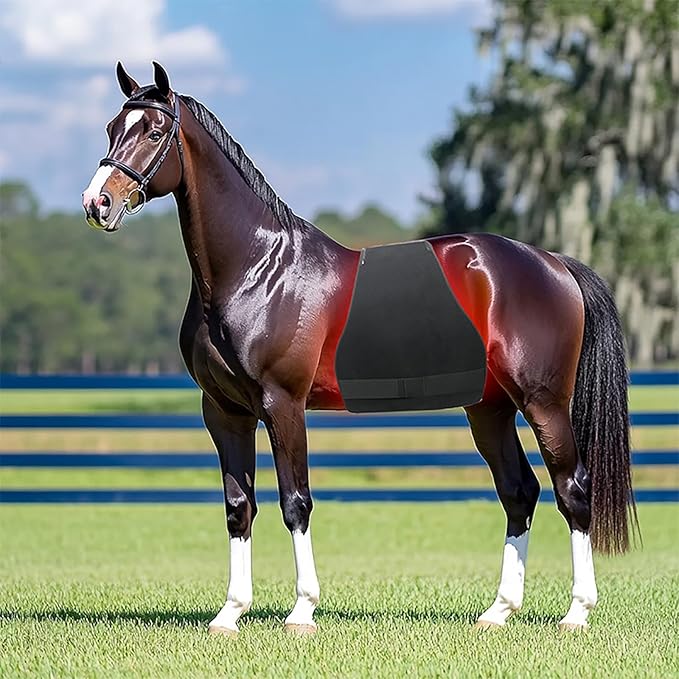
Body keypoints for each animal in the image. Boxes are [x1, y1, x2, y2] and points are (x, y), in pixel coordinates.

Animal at [82, 62, 637, 636]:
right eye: (111, 129)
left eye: (154, 132)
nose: (97, 203)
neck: (257, 270)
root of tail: (554, 263)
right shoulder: (225, 412)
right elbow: (239, 505)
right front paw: (230, 613)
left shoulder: (283, 405)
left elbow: (295, 502)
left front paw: (302, 610)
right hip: (490, 409)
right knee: (519, 492)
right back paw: (499, 610)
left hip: (543, 403)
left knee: (572, 489)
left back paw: (577, 612)